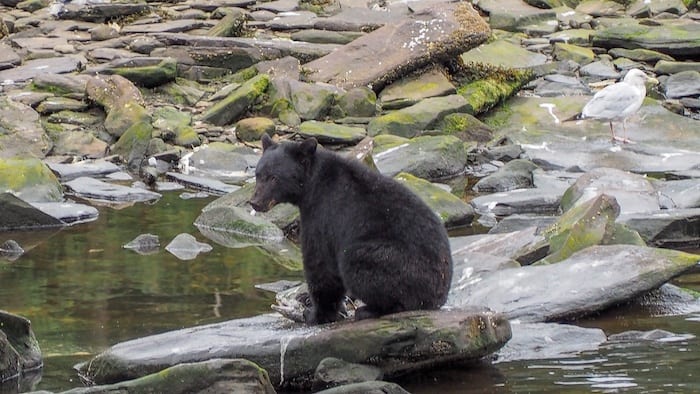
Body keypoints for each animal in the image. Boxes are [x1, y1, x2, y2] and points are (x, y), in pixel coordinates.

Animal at [249, 134, 452, 324]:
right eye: (258, 175)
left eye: (274, 178)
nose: (255, 202)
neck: (312, 183)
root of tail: (439, 295)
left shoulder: (321, 214)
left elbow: (321, 264)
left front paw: (316, 314)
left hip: (398, 265)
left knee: (356, 262)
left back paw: (370, 309)